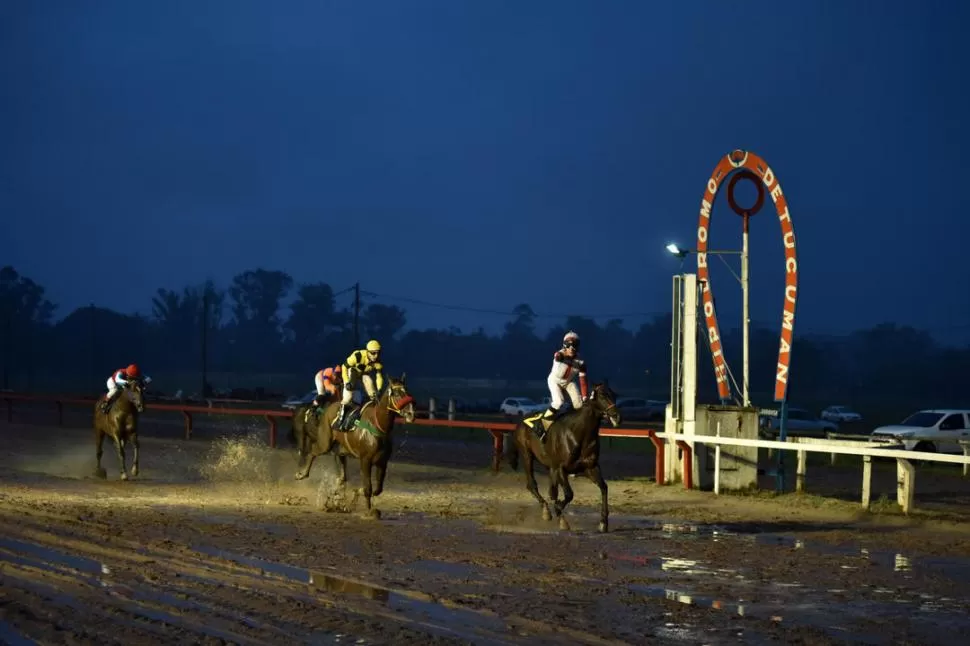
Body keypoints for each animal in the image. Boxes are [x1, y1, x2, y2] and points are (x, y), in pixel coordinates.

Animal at [290, 378, 414, 520]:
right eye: (397, 393)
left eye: (407, 391)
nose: (411, 413)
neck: (378, 426)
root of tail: (330, 406)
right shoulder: (365, 460)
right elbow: (368, 487)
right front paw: (369, 511)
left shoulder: (382, 462)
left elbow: (377, 489)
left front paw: (355, 493)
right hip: (325, 442)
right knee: (313, 451)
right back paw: (301, 474)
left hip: (341, 450)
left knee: (342, 476)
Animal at [502, 382, 616, 536]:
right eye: (603, 395)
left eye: (614, 394)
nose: (616, 415)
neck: (578, 433)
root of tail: (521, 422)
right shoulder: (561, 468)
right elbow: (568, 494)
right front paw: (558, 511)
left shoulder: (590, 467)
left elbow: (604, 488)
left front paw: (603, 523)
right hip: (527, 455)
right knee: (532, 484)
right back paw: (546, 511)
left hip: (549, 465)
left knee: (552, 491)